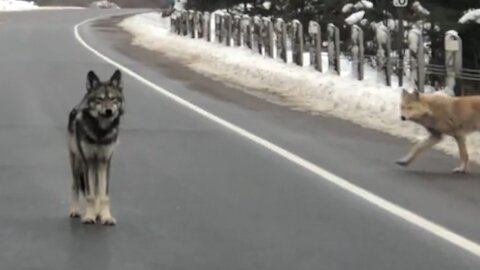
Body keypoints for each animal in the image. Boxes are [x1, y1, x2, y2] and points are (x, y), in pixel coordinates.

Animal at [67, 69, 124, 226]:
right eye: (99, 99)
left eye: (113, 99)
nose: (109, 111)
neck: (100, 132)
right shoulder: (89, 161)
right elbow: (90, 194)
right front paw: (89, 216)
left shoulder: (105, 161)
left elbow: (103, 194)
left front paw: (105, 217)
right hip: (77, 163)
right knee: (75, 185)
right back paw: (75, 210)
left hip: (97, 166)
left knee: (98, 189)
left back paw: (98, 213)